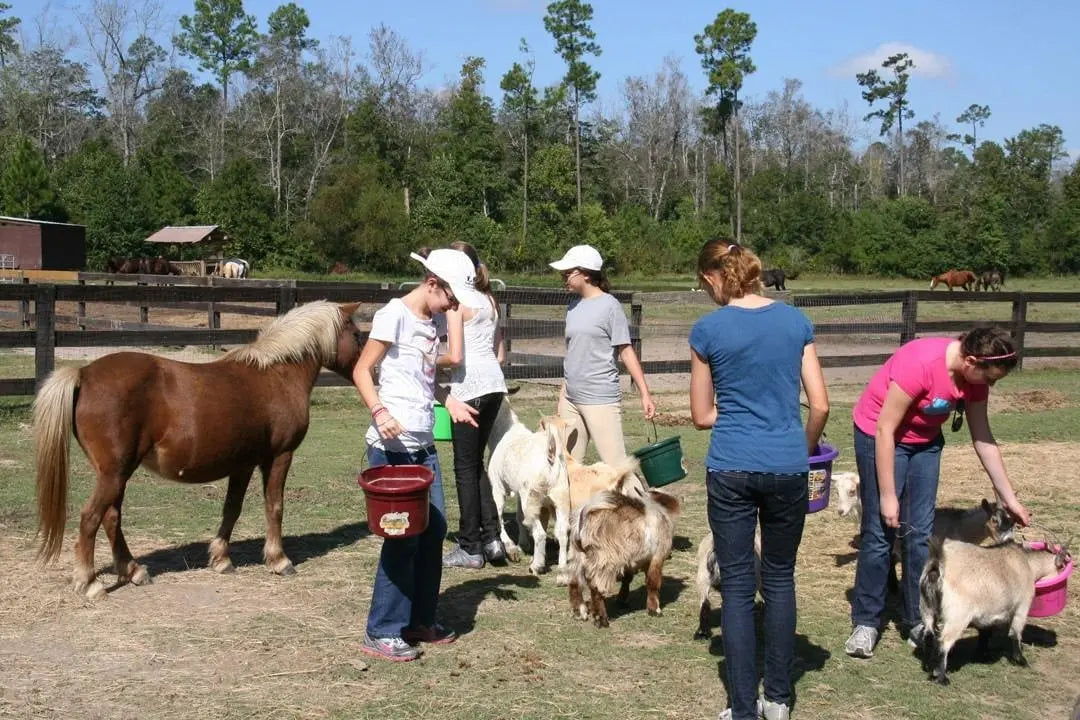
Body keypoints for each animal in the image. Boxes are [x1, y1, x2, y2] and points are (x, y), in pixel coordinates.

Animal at [34, 302, 362, 600]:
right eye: (358, 335)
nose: (368, 369)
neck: (277, 374)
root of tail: (84, 374)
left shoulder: (243, 464)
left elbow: (232, 509)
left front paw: (221, 559)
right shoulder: (279, 457)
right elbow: (275, 506)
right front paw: (279, 560)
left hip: (116, 474)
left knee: (111, 517)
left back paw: (134, 571)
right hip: (113, 473)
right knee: (91, 517)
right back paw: (90, 583)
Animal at [570, 487, 678, 626]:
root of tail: (583, 517)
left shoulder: (629, 561)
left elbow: (627, 579)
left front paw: (622, 600)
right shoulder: (657, 557)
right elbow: (653, 583)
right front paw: (655, 610)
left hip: (577, 559)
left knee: (574, 584)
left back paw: (579, 612)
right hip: (603, 562)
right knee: (596, 588)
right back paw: (601, 619)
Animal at [915, 537, 1067, 686]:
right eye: (1063, 566)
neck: (1028, 564)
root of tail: (937, 566)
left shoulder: (987, 614)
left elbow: (985, 632)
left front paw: (982, 655)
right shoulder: (1022, 607)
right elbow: (1015, 634)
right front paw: (1021, 660)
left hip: (926, 607)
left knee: (929, 636)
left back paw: (931, 668)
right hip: (957, 616)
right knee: (943, 641)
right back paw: (942, 678)